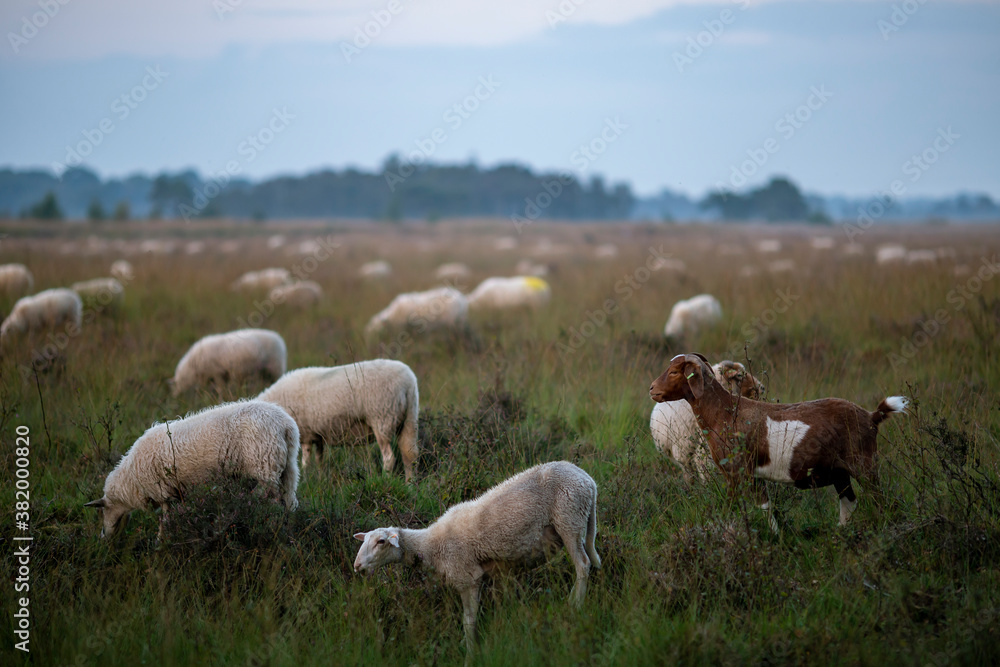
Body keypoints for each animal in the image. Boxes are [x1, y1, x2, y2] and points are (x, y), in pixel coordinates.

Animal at [84, 400, 300, 540]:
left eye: (102, 511)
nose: (103, 538)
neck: (132, 480)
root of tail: (285, 425)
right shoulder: (177, 492)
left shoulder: (165, 494)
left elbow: (165, 521)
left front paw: (161, 542)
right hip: (287, 468)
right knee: (289, 502)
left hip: (265, 467)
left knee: (273, 502)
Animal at [256, 360, 419, 481]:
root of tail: (408, 383)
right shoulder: (318, 436)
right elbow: (319, 460)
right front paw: (321, 480)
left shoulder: (306, 435)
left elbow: (306, 462)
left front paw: (306, 480)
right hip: (409, 420)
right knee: (409, 455)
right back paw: (410, 485)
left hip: (382, 417)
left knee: (389, 458)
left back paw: (386, 479)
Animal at [353, 460, 600, 653]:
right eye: (364, 541)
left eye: (380, 542)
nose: (356, 565)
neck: (431, 545)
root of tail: (588, 480)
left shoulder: (468, 577)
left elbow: (468, 621)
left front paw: (470, 651)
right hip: (583, 522)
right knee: (591, 560)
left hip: (569, 519)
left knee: (583, 565)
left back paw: (575, 604)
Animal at [649, 353, 908, 529]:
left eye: (674, 372)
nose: (652, 389)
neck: (723, 411)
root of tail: (871, 416)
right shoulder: (752, 474)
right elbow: (765, 506)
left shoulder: (736, 471)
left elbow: (736, 507)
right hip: (840, 471)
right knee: (849, 502)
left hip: (863, 463)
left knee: (883, 502)